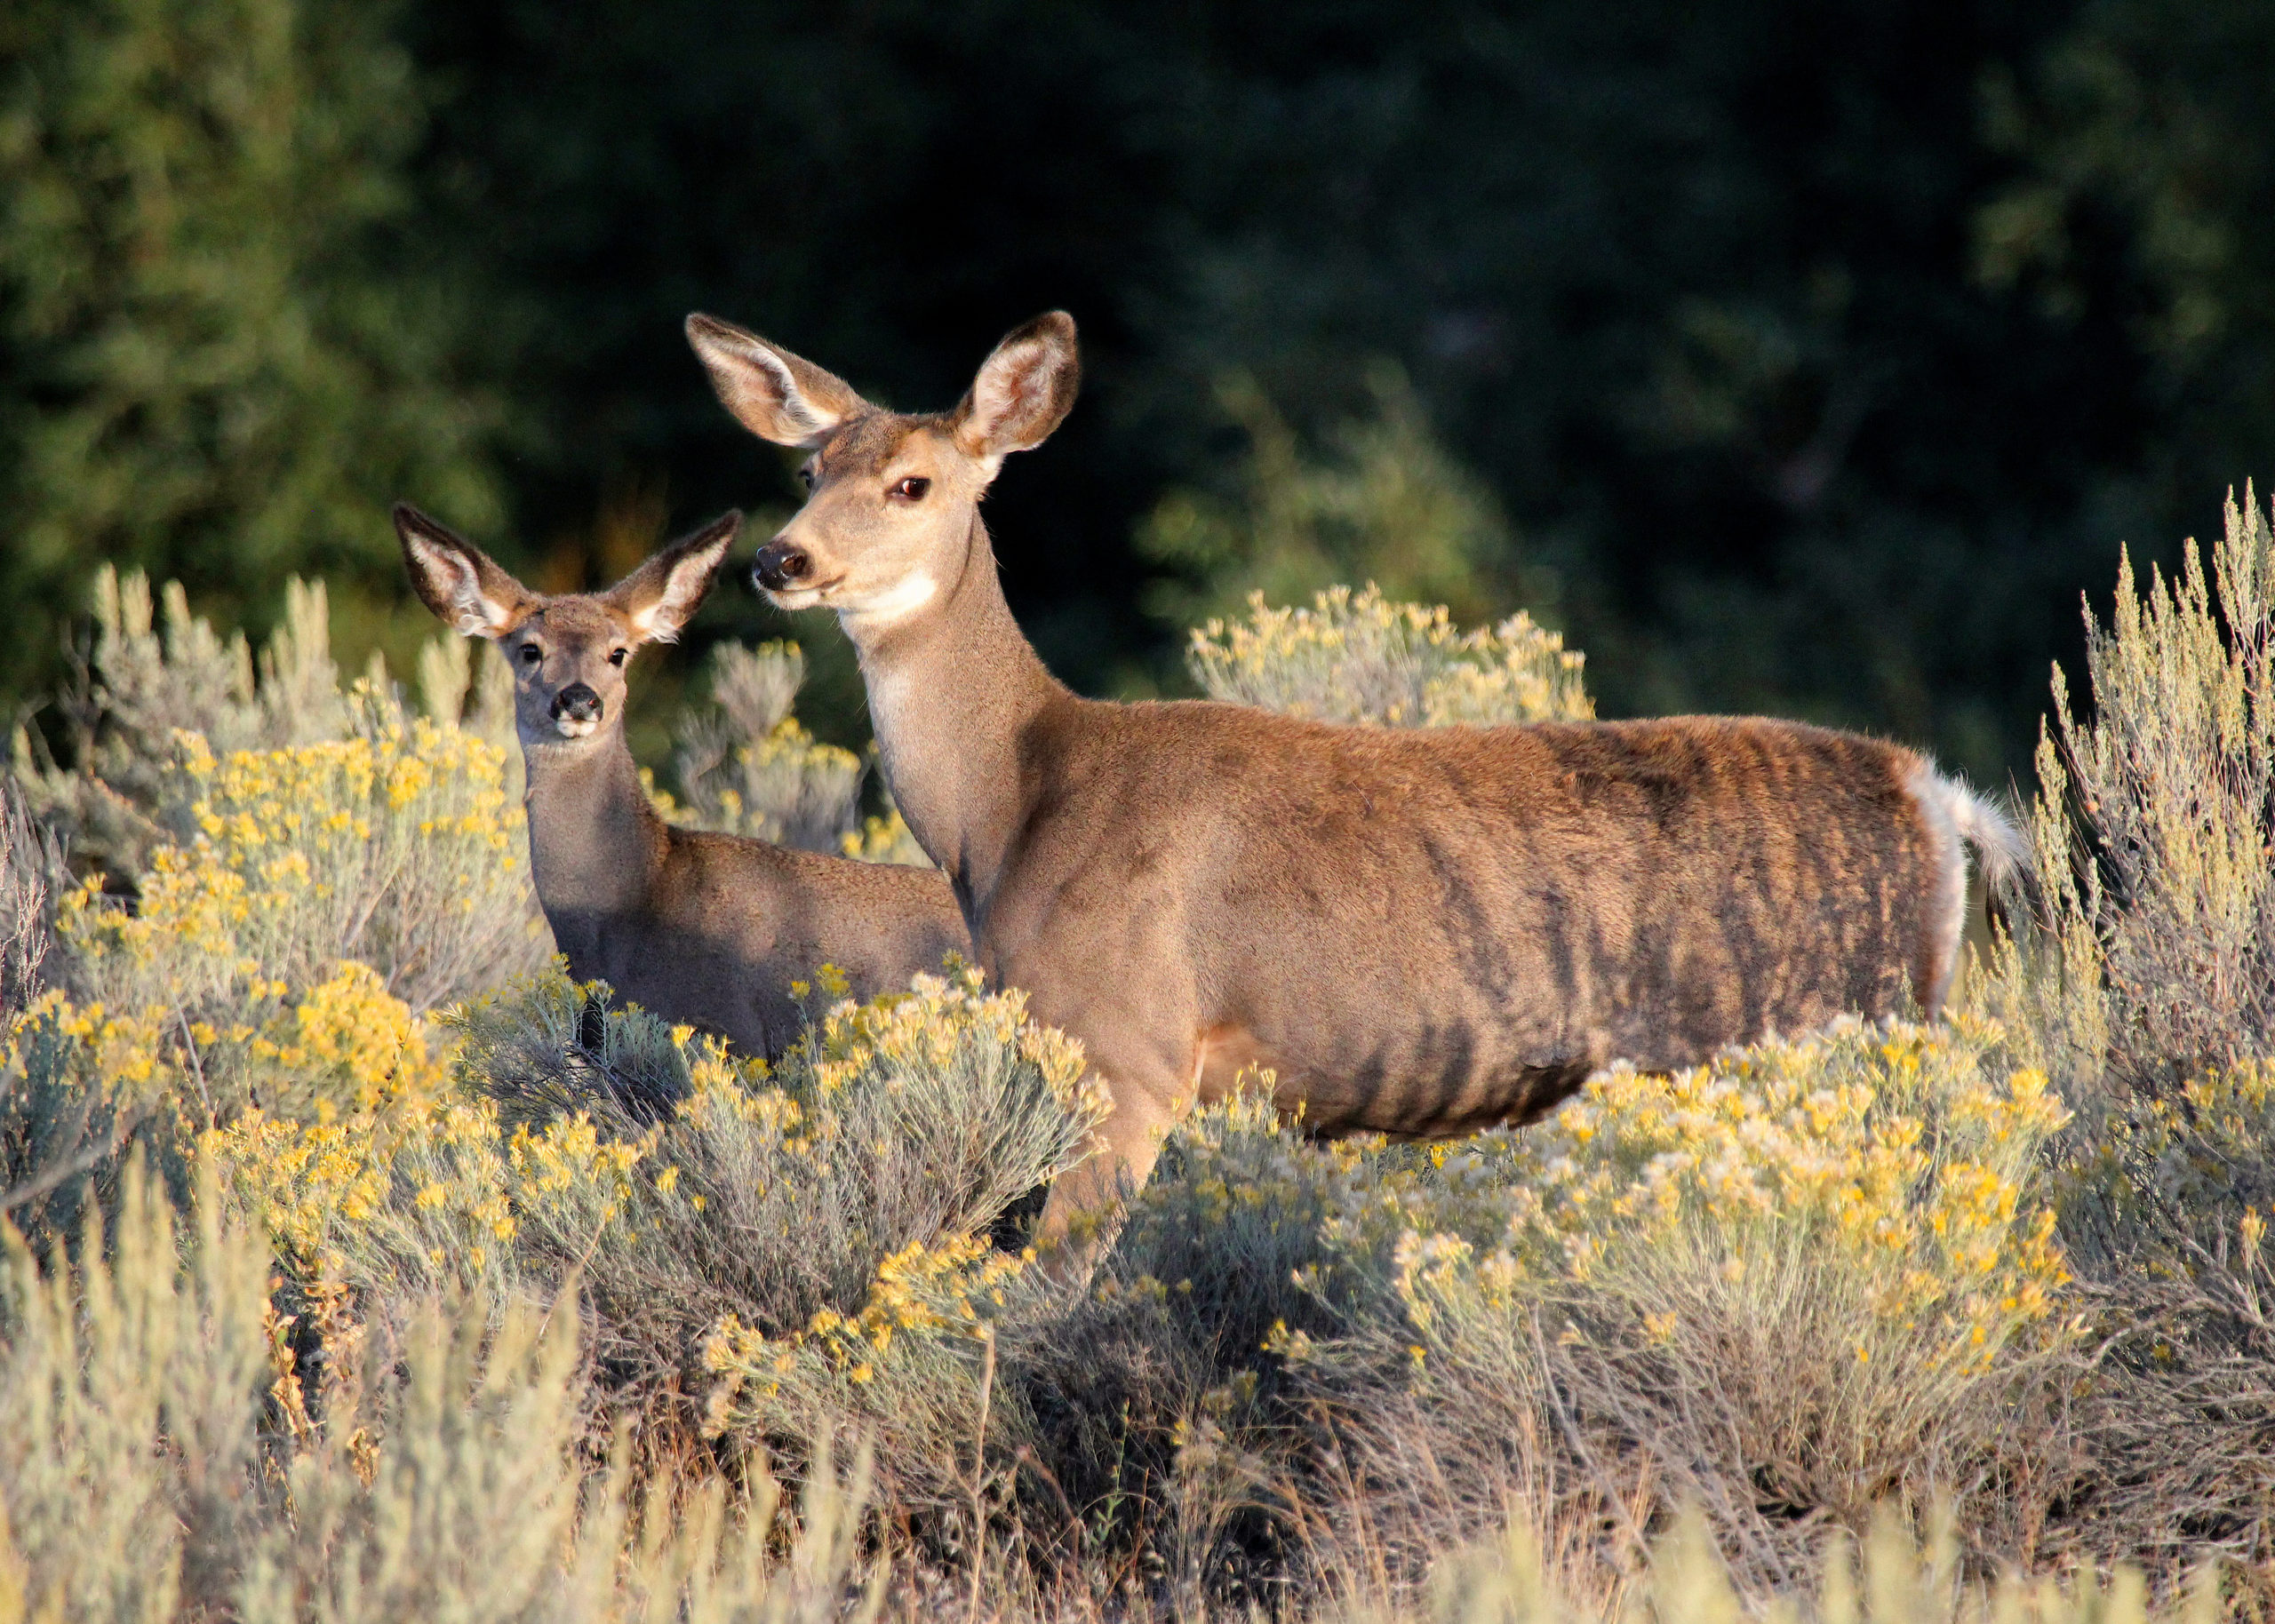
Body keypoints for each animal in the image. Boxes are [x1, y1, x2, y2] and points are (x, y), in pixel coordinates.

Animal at [684, 308, 2028, 1254]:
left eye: (911, 483)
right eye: (808, 473)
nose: (778, 560)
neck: (1011, 812)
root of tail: (1937, 800)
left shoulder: (1130, 1044)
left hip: (1826, 1024)